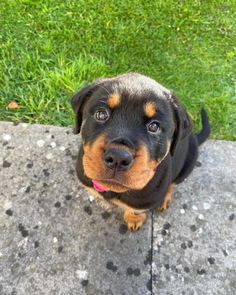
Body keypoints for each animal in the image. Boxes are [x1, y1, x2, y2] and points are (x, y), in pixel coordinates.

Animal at [70, 73, 210, 231]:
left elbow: (136, 210)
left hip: (188, 164)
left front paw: (134, 219)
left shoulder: (144, 201)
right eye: (101, 114)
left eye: (154, 126)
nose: (118, 158)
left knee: (173, 184)